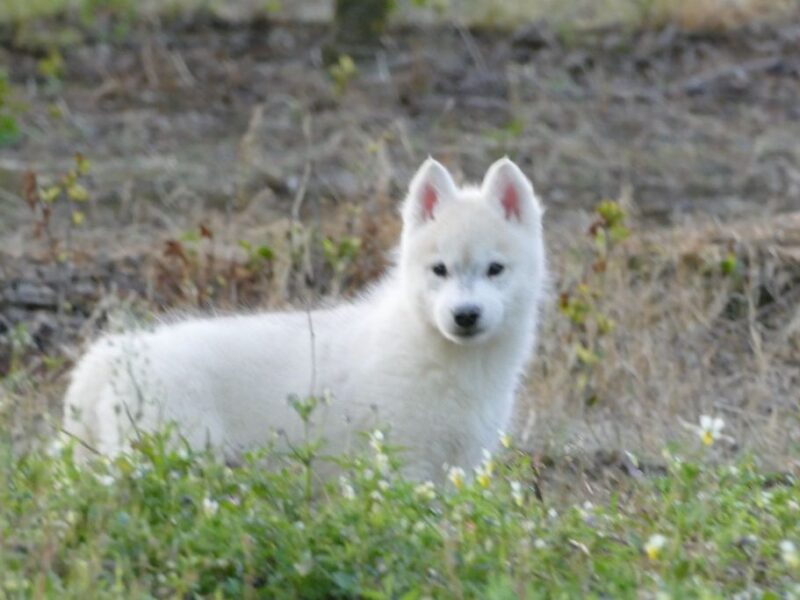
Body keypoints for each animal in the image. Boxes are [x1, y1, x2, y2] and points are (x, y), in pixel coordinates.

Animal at [64, 157, 552, 480]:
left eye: (495, 269)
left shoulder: (460, 467)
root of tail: (110, 356)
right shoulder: (404, 464)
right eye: (440, 270)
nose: (464, 316)